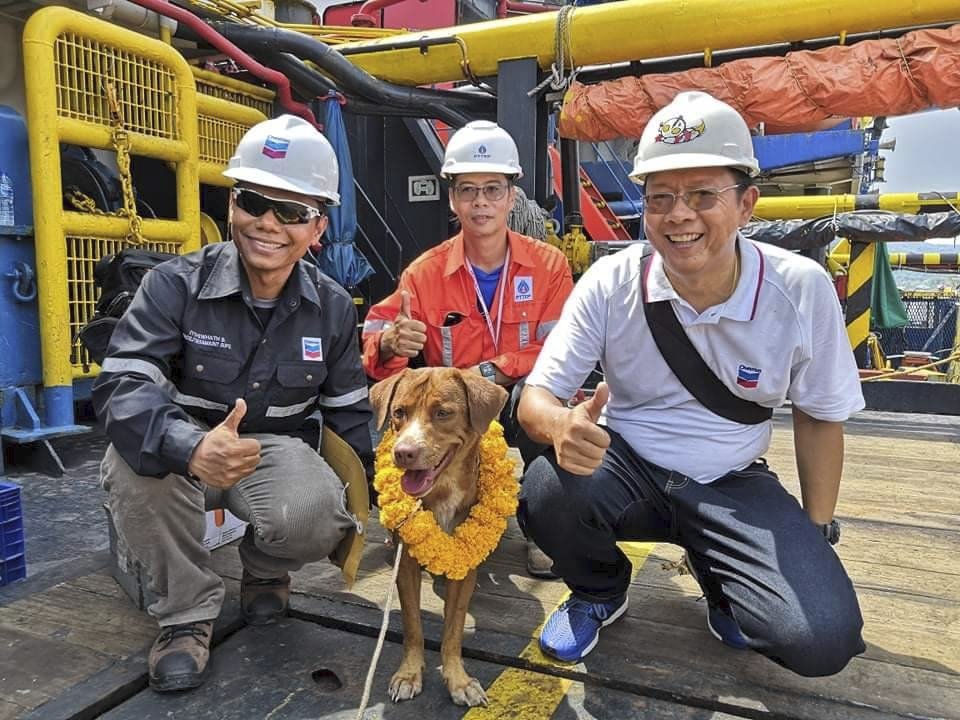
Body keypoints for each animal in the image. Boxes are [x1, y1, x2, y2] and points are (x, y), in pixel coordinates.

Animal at [370, 368, 510, 704]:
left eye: (443, 413)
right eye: (398, 412)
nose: (403, 452)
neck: (442, 492)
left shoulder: (465, 566)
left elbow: (454, 627)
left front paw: (459, 680)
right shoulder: (406, 564)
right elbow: (412, 624)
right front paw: (409, 674)